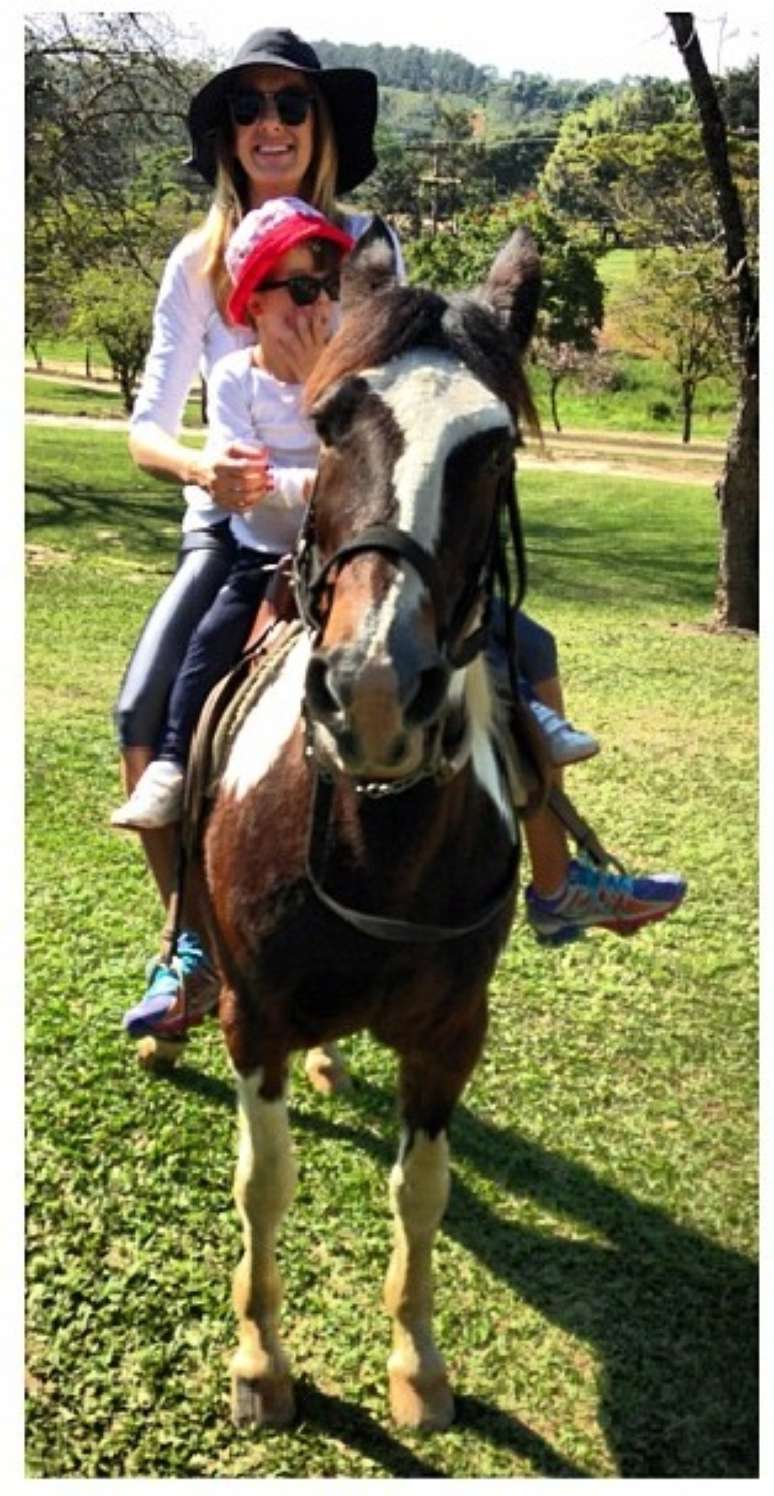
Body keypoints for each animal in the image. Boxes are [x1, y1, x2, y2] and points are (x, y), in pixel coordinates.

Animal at [196, 218, 538, 1424]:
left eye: (496, 447)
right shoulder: (254, 1017)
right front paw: (261, 1360)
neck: (377, 844)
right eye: (331, 420)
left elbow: (421, 1187)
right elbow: (265, 1178)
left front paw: (418, 1361)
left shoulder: (452, 1034)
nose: (379, 693)